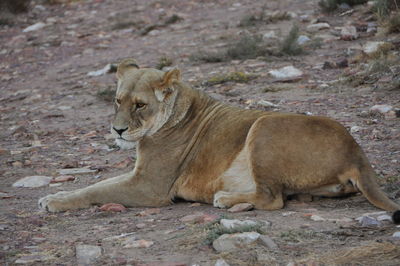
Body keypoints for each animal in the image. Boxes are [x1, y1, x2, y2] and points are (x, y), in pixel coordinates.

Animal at [38, 59, 400, 223]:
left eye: (140, 105)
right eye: (117, 100)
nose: (117, 131)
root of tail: (357, 150)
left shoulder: (151, 187)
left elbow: (96, 190)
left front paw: (54, 201)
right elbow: (98, 183)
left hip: (264, 126)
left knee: (272, 198)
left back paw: (225, 199)